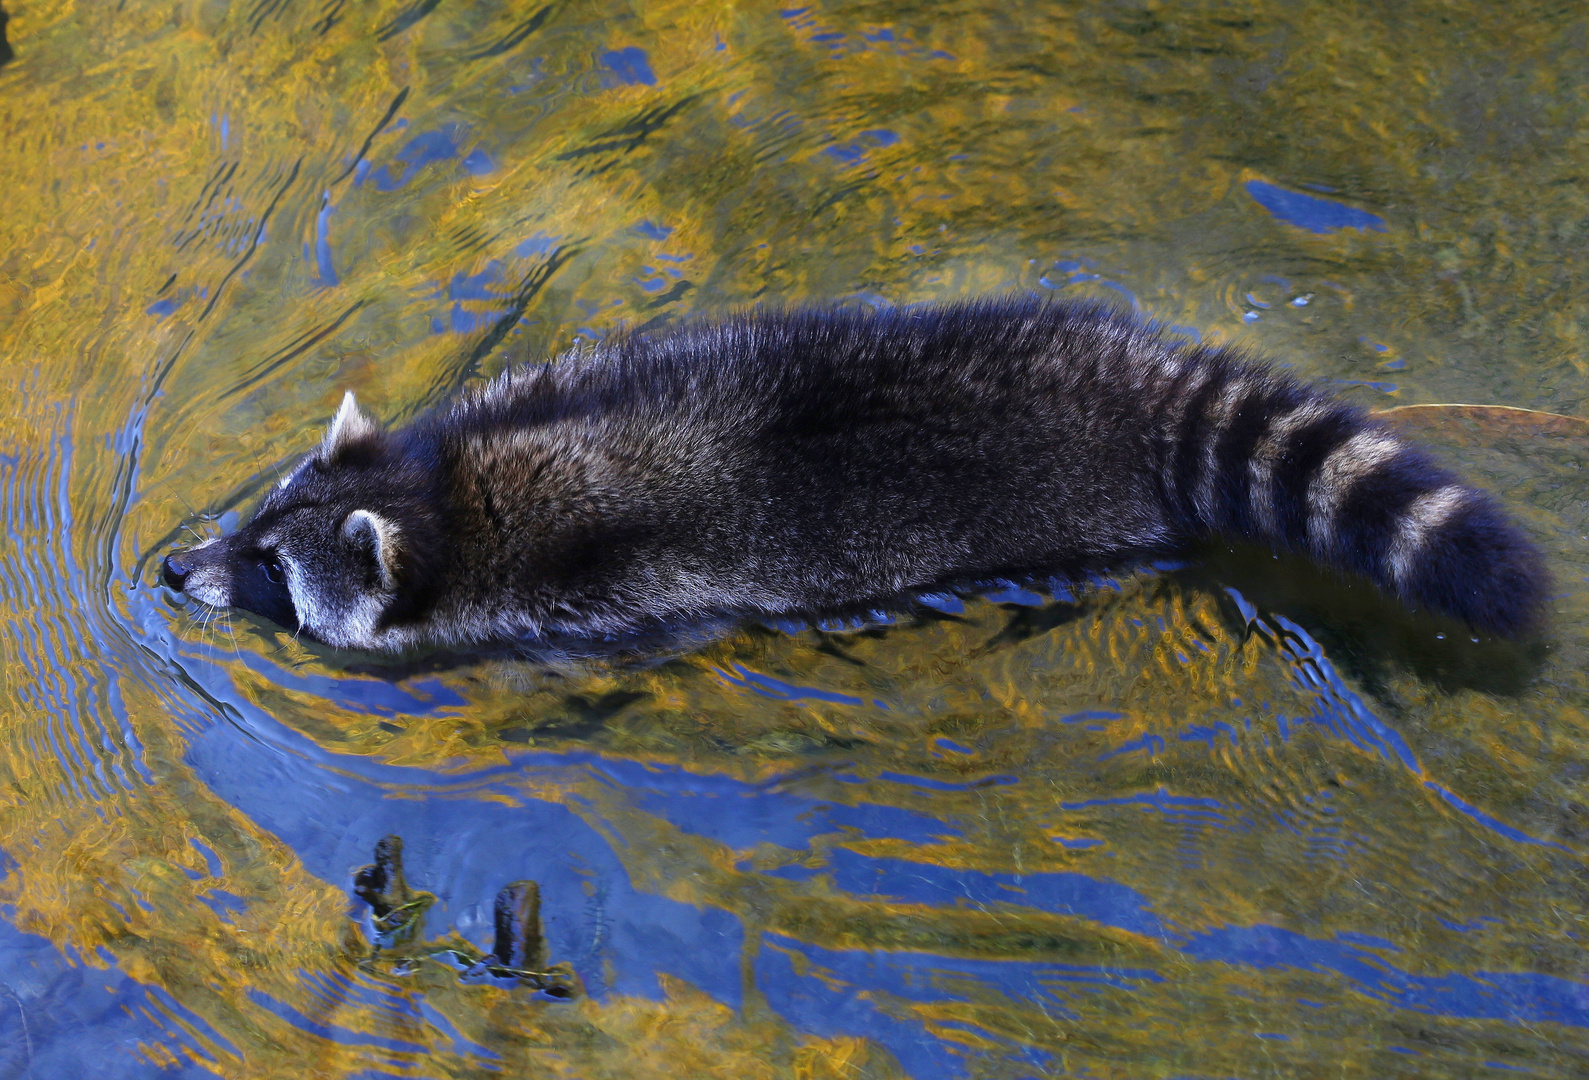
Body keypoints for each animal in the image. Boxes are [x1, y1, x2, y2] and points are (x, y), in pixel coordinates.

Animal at [154, 295, 1544, 651]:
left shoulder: (592, 593)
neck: (450, 498)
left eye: (269, 567)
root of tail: (1130, 389)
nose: (172, 570)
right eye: (257, 517)